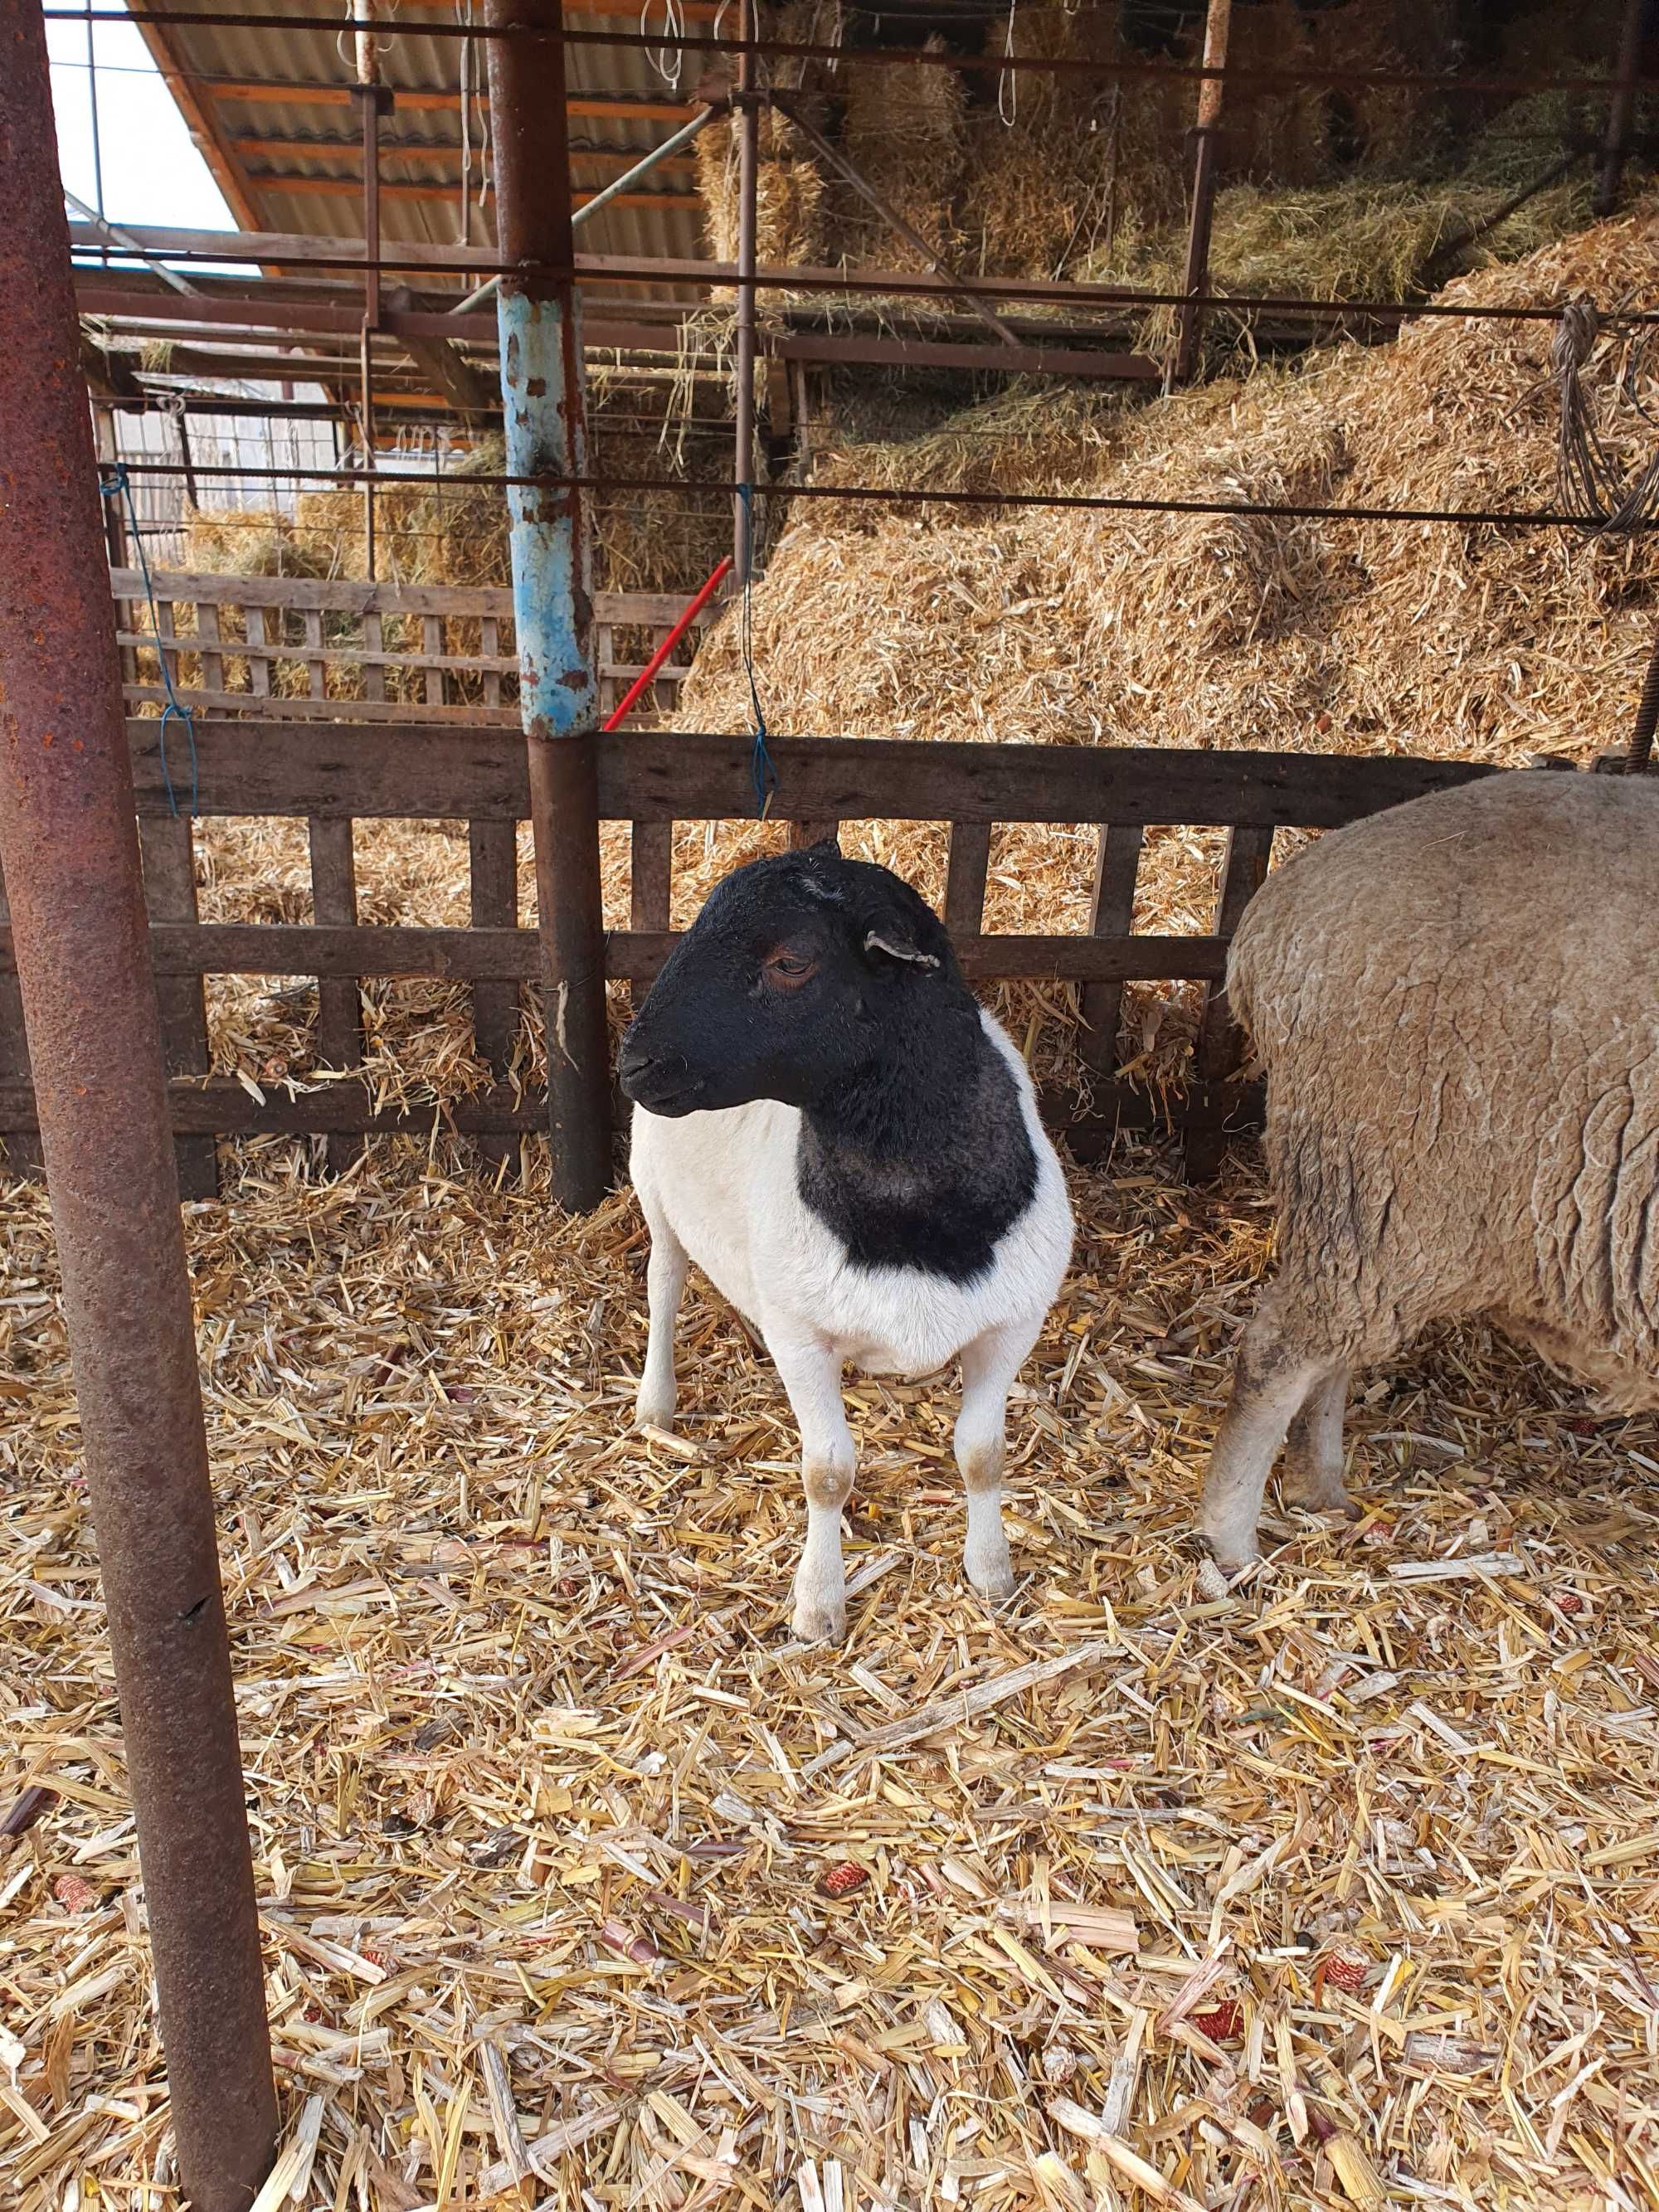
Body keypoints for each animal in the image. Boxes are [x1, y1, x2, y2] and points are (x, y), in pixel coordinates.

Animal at [619, 840, 1070, 1646]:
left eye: (792, 960)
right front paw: (818, 1602)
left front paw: (991, 1572)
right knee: (664, 1285)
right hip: (654, 1186)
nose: (634, 1062)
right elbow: (826, 1472)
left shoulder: (1011, 1325)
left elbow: (983, 1456)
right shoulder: (800, 1335)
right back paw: (655, 1404)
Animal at [1203, 770, 1659, 1566]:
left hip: (1371, 1196)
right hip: (1389, 1167)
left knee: (1331, 1351)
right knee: (1278, 1352)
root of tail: (1276, 915)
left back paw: (1321, 1489)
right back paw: (1230, 1542)